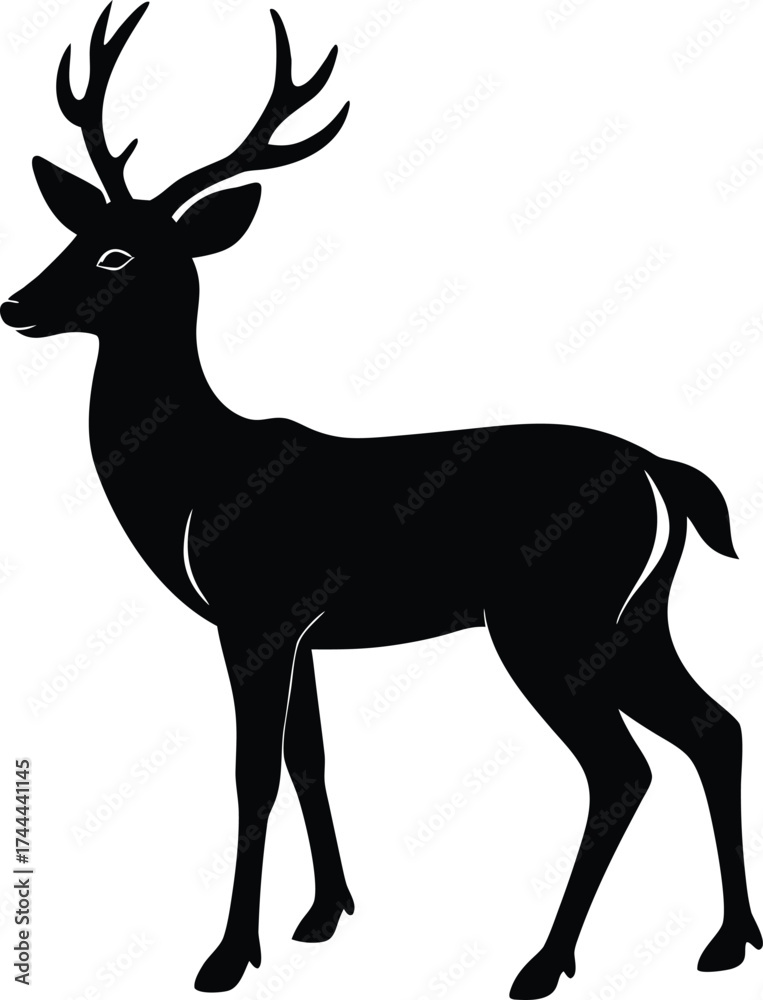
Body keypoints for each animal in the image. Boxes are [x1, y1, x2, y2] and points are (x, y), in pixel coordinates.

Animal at [2, 3, 760, 997]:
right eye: (72, 235)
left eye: (118, 252)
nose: (16, 304)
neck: (194, 484)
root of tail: (660, 470)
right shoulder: (305, 632)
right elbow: (310, 761)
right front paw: (324, 916)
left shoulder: (255, 613)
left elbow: (253, 776)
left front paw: (226, 956)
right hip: (635, 614)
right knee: (715, 727)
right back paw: (728, 941)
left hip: (549, 618)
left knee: (622, 768)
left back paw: (542, 963)